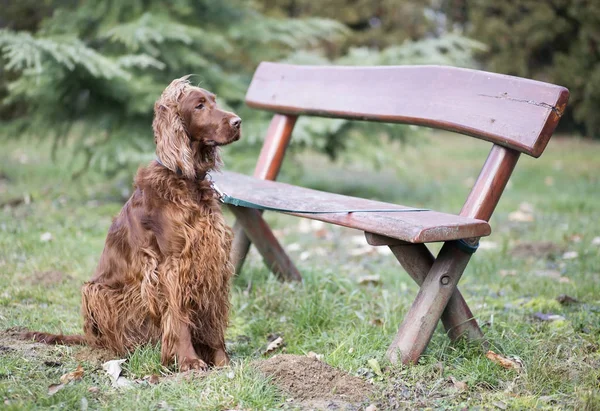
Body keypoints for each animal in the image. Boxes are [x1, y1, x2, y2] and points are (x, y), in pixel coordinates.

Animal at [25, 76, 241, 370]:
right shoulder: (173, 265)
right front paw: (188, 360)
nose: (238, 121)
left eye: (214, 101)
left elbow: (213, 319)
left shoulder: (213, 257)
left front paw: (221, 360)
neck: (186, 181)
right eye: (199, 106)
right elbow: (179, 318)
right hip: (95, 291)